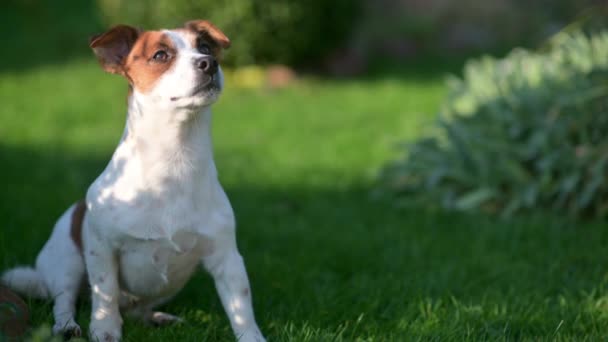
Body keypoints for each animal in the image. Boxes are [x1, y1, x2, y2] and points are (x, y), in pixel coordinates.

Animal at [1, 21, 266, 342]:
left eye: (204, 47)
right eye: (160, 55)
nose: (209, 63)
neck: (175, 162)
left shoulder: (226, 257)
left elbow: (241, 308)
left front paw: (252, 336)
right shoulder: (101, 249)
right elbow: (106, 293)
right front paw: (104, 329)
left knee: (138, 309)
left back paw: (158, 318)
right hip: (66, 262)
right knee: (64, 300)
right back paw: (67, 326)